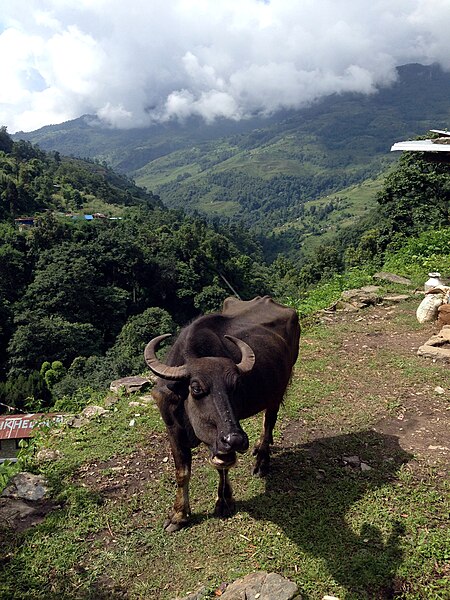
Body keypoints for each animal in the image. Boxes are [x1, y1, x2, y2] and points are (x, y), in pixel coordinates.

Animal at [145, 292, 298, 532]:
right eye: (196, 388)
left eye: (235, 386)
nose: (234, 439)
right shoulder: (172, 429)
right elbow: (182, 472)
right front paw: (178, 515)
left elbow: (222, 467)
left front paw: (224, 502)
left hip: (277, 389)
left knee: (269, 420)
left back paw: (262, 461)